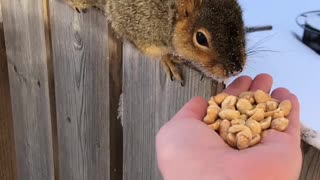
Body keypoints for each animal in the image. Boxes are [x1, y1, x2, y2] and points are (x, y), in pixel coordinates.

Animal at [63, 0, 246, 85]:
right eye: (200, 38)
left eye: (241, 25)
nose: (235, 69)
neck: (169, 14)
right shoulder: (137, 23)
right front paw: (168, 60)